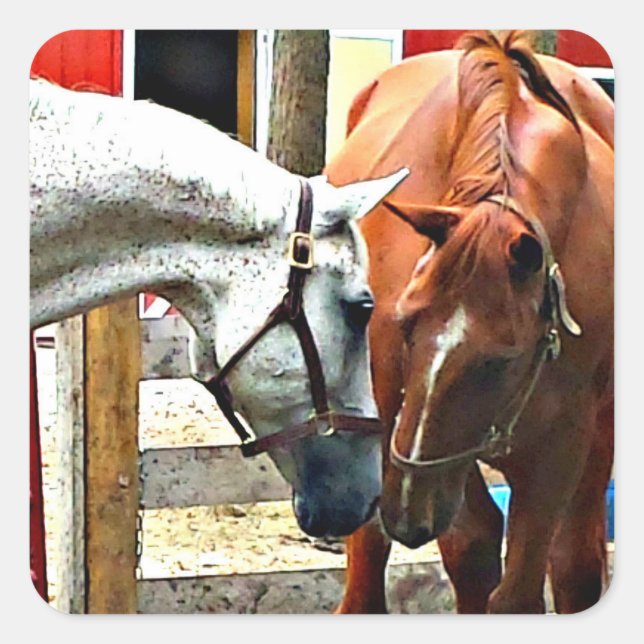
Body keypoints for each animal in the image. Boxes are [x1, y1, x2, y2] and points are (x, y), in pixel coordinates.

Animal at [325, 31, 613, 613]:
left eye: (500, 359)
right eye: (406, 325)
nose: (406, 511)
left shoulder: (564, 441)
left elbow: (523, 589)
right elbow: (463, 550)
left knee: (574, 560)